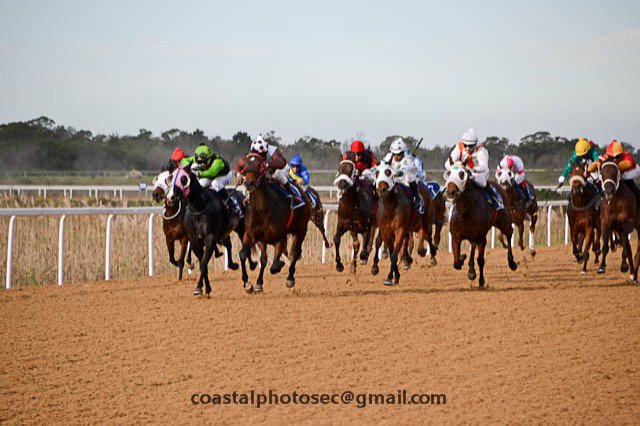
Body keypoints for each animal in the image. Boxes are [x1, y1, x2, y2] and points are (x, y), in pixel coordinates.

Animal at [168, 165, 252, 298]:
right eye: (171, 177)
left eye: (183, 179)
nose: (171, 197)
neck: (199, 207)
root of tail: (242, 196)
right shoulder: (195, 242)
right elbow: (203, 265)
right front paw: (206, 289)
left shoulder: (210, 238)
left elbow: (203, 264)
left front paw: (198, 288)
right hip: (224, 233)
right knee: (229, 244)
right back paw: (232, 265)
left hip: (241, 229)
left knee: (245, 250)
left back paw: (247, 278)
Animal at [239, 153, 312, 292]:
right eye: (244, 165)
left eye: (260, 165)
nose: (249, 183)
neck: (262, 208)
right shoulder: (252, 236)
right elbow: (245, 255)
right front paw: (249, 284)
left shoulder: (280, 236)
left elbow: (274, 266)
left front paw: (280, 264)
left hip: (301, 229)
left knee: (296, 252)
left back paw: (290, 278)